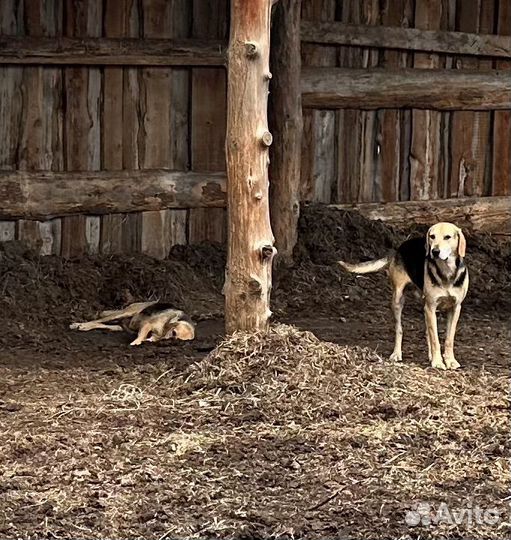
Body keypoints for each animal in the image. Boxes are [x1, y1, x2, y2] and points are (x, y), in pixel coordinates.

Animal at [338, 221, 470, 370]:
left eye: (447, 237)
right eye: (432, 236)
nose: (434, 252)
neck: (446, 272)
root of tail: (399, 248)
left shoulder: (455, 308)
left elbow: (449, 338)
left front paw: (450, 360)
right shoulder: (431, 306)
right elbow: (435, 339)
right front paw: (437, 362)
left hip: (424, 306)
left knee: (427, 331)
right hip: (398, 299)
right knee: (399, 329)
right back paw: (397, 353)